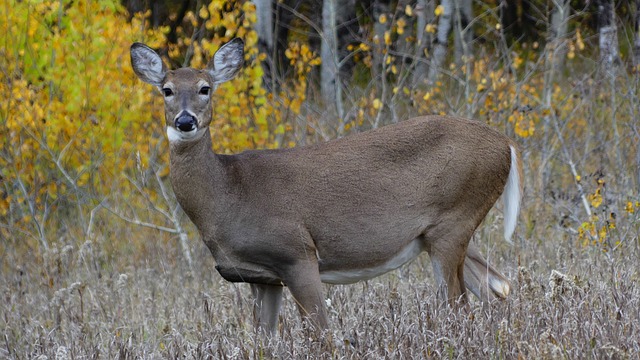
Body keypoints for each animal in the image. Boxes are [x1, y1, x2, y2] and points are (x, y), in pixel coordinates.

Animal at [129, 38, 520, 334]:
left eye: (205, 89)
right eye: (166, 90)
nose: (185, 121)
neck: (229, 193)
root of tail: (507, 145)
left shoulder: (296, 253)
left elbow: (322, 334)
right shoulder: (261, 277)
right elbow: (263, 340)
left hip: (454, 220)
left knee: (460, 306)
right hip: (444, 232)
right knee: (497, 287)